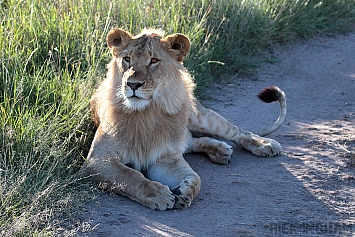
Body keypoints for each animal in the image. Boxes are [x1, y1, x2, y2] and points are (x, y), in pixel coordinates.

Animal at [80, 26, 286, 210]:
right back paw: (220, 150)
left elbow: (196, 179)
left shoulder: (165, 157)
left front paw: (185, 191)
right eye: (127, 59)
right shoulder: (98, 160)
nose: (132, 84)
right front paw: (159, 194)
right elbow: (130, 176)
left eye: (153, 60)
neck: (147, 113)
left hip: (199, 117)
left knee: (236, 131)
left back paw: (263, 144)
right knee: (191, 142)